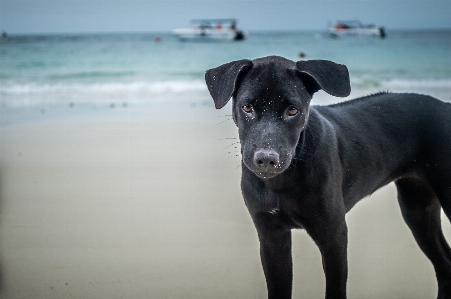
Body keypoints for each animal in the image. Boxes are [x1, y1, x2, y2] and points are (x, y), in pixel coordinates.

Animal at [206, 56, 451, 299]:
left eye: (293, 110)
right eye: (247, 107)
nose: (267, 159)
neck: (282, 182)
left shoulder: (333, 235)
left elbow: (335, 289)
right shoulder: (271, 236)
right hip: (417, 208)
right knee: (444, 262)